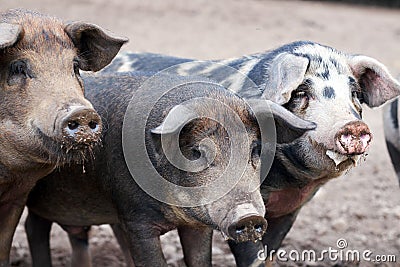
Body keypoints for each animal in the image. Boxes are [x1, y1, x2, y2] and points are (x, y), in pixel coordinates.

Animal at [25, 71, 316, 267]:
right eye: (197, 152)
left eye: (255, 148)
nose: (249, 216)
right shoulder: (135, 218)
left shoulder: (198, 225)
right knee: (33, 227)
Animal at [99, 40, 400, 266]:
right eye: (301, 92)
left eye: (355, 94)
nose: (354, 126)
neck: (292, 182)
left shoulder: (290, 211)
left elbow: (270, 253)